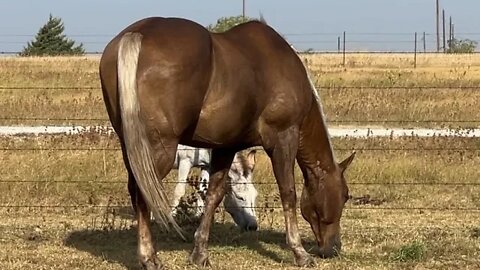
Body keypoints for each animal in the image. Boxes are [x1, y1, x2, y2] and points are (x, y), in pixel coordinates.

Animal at [100, 16, 356, 268]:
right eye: (345, 195)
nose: (334, 248)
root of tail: (137, 34)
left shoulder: (225, 147)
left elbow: (214, 194)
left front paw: (200, 253)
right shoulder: (284, 139)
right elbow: (288, 193)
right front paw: (300, 253)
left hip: (131, 148)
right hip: (158, 150)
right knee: (142, 194)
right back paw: (148, 257)